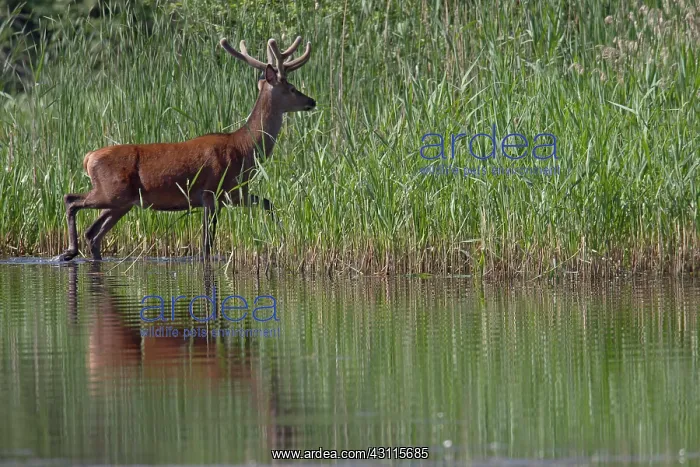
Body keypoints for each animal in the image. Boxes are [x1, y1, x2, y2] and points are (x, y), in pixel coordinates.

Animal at [55, 35, 315, 262]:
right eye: (292, 88)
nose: (311, 101)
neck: (244, 151)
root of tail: (88, 157)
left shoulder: (234, 192)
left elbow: (268, 203)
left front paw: (282, 234)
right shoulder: (211, 191)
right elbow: (206, 243)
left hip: (122, 202)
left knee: (93, 233)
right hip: (111, 191)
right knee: (71, 200)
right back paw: (68, 251)